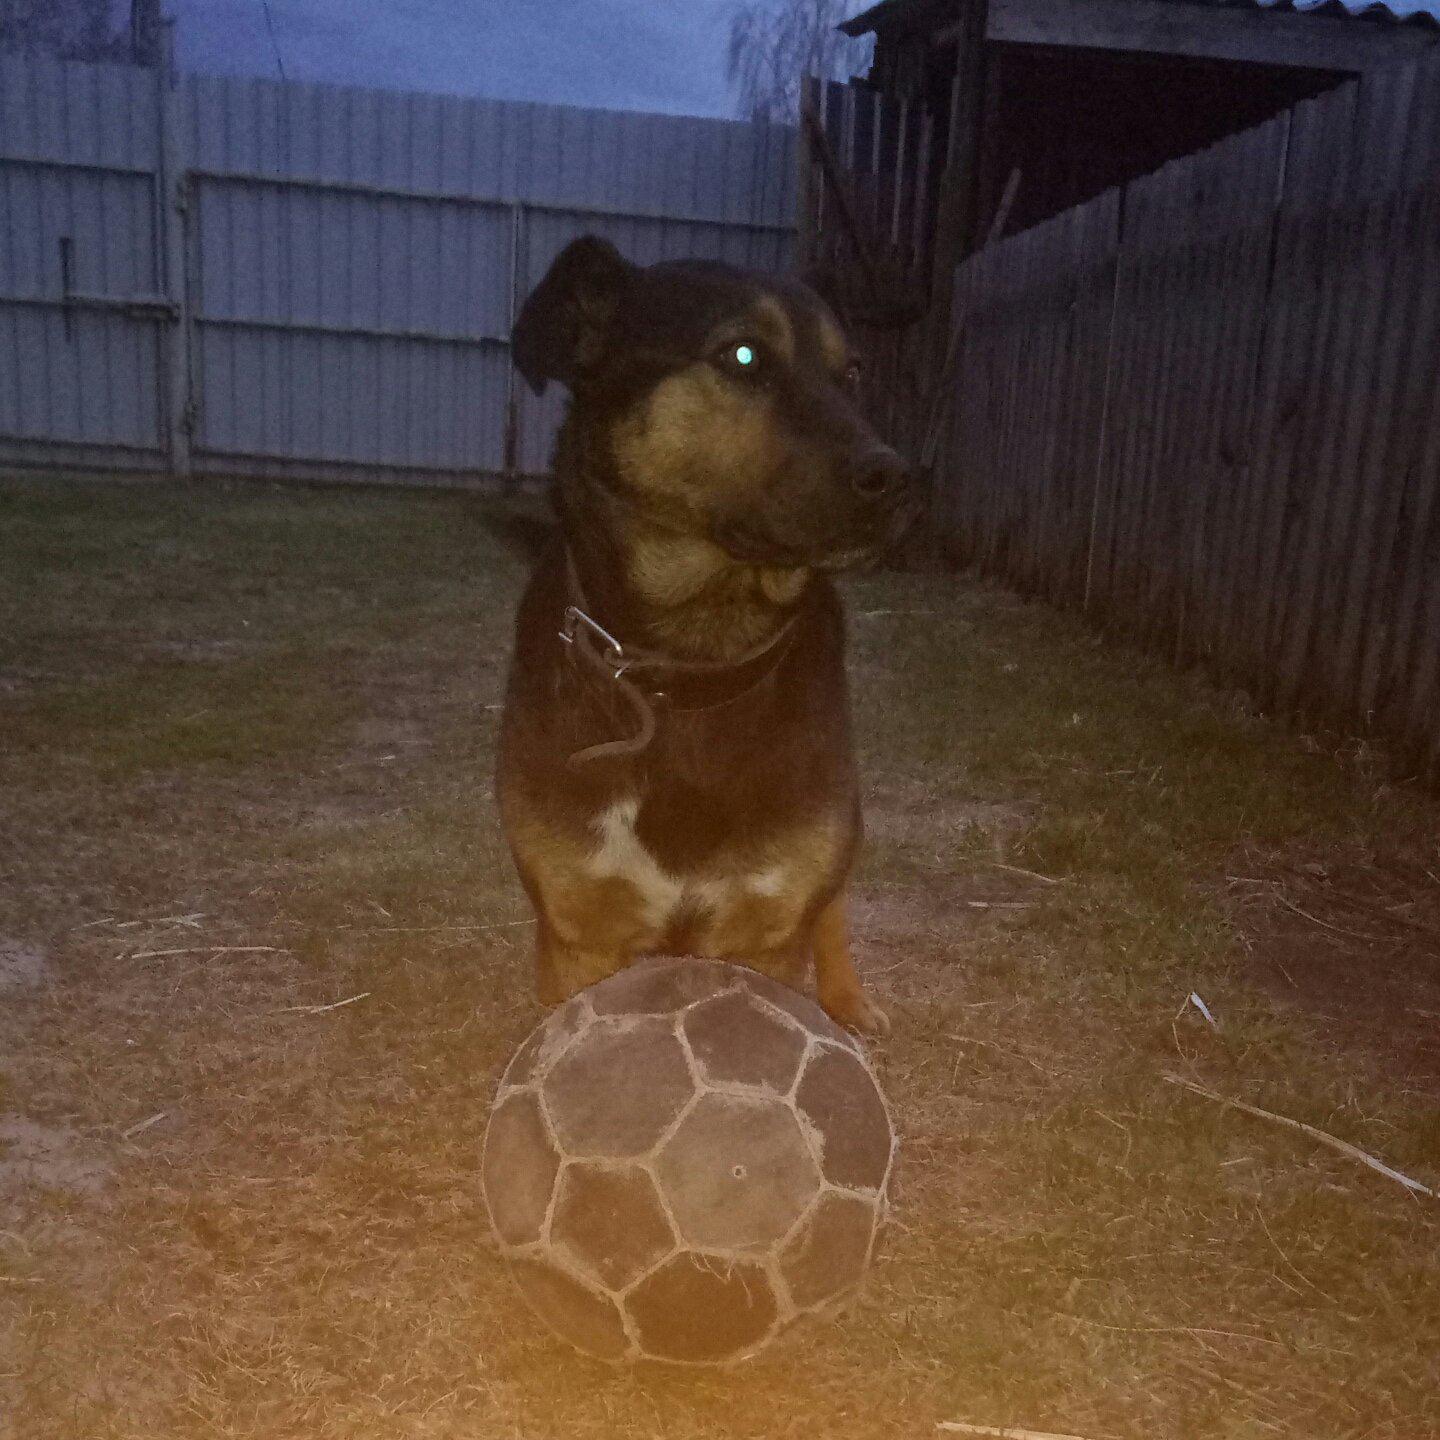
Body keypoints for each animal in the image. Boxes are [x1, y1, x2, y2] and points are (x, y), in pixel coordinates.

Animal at [495, 241, 910, 1042]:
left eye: (851, 372)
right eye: (742, 355)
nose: (899, 476)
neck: (690, 664)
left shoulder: (766, 926)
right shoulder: (582, 927)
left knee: (836, 900)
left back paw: (848, 998)